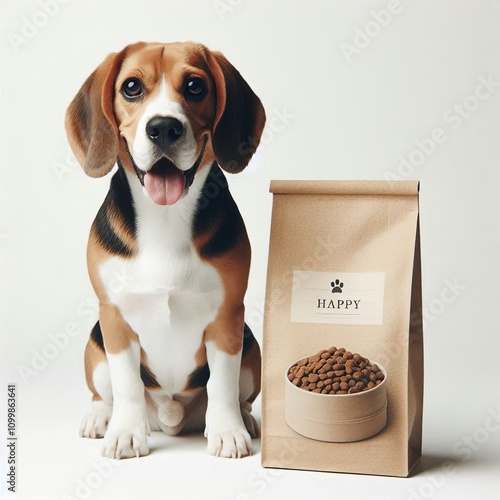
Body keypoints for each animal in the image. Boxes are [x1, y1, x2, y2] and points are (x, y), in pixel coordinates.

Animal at [65, 41, 266, 458]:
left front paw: (228, 432)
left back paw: (245, 419)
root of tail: (171, 417)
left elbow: (221, 385)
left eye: (194, 86)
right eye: (131, 87)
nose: (163, 128)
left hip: (251, 347)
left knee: (237, 393)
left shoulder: (228, 318)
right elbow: (127, 386)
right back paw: (99, 418)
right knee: (103, 393)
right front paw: (125, 433)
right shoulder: (114, 318)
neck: (166, 218)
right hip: (95, 346)